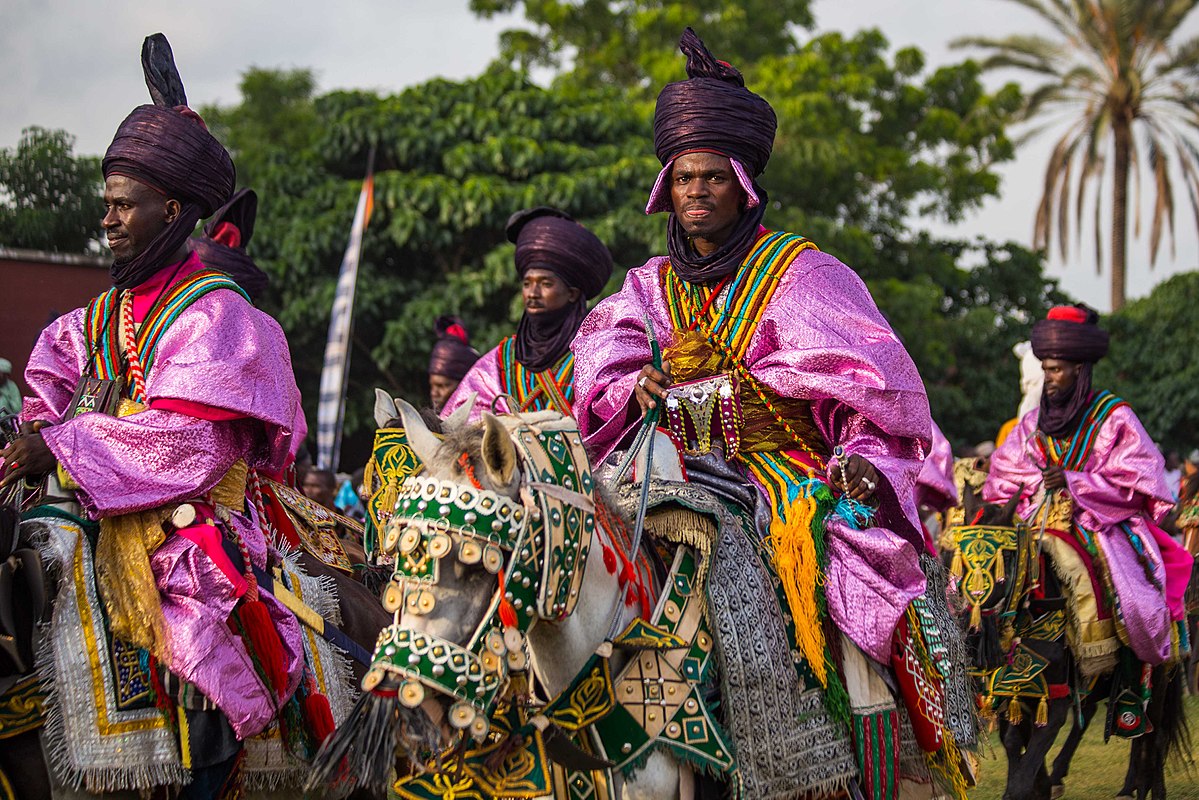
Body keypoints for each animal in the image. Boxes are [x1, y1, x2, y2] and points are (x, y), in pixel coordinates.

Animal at [944, 484, 1189, 796]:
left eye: (1006, 562)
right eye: (959, 560)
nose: (970, 631)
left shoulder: (1055, 699)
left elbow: (1024, 773)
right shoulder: (1014, 695)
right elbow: (1014, 744)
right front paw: (1044, 786)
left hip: (1157, 674)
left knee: (1153, 735)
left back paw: (1150, 788)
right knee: (1116, 719)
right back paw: (1118, 784)